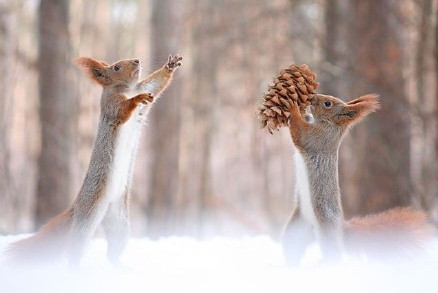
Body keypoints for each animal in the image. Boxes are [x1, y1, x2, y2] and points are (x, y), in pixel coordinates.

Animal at [5, 53, 183, 266]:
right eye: (116, 67)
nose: (137, 61)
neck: (128, 88)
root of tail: (77, 205)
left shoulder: (144, 88)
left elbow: (155, 84)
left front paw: (170, 65)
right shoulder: (111, 104)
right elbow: (122, 110)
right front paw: (137, 99)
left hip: (119, 222)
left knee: (113, 249)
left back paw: (119, 266)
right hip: (88, 215)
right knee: (76, 247)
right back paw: (75, 269)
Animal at [282, 93, 436, 264]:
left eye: (328, 103)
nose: (312, 97)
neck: (330, 125)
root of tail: (342, 230)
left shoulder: (318, 138)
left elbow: (299, 133)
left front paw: (293, 107)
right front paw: (301, 109)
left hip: (327, 229)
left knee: (334, 254)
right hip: (296, 229)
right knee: (291, 248)